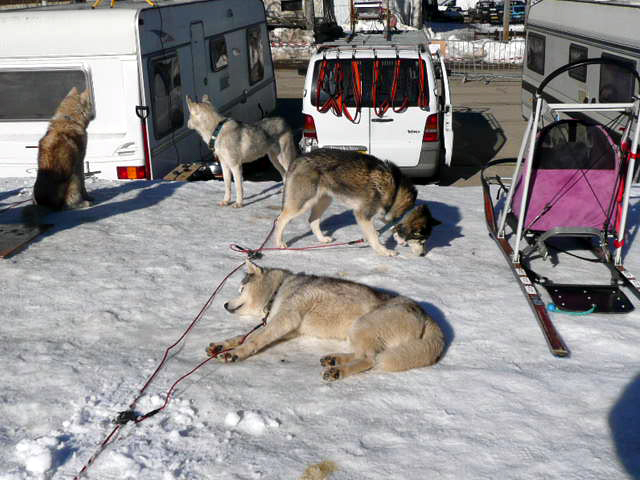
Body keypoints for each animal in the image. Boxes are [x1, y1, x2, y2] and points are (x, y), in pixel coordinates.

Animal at [206, 260, 444, 380]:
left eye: (241, 289)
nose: (225, 304)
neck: (279, 289)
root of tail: (425, 313)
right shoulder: (286, 328)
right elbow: (245, 335)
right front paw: (221, 345)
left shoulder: (286, 319)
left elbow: (254, 340)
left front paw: (235, 353)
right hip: (357, 332)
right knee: (364, 355)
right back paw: (334, 359)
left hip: (362, 325)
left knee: (370, 359)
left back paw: (338, 371)